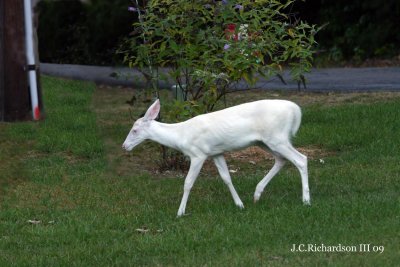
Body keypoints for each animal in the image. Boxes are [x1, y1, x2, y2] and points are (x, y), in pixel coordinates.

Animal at [122, 99, 310, 217]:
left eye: (135, 130)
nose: (124, 146)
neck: (181, 135)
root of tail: (295, 110)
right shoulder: (216, 152)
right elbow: (226, 178)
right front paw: (239, 204)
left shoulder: (198, 154)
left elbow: (188, 183)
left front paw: (180, 212)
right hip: (265, 141)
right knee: (281, 160)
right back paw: (257, 194)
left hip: (276, 137)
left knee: (301, 159)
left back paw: (306, 200)